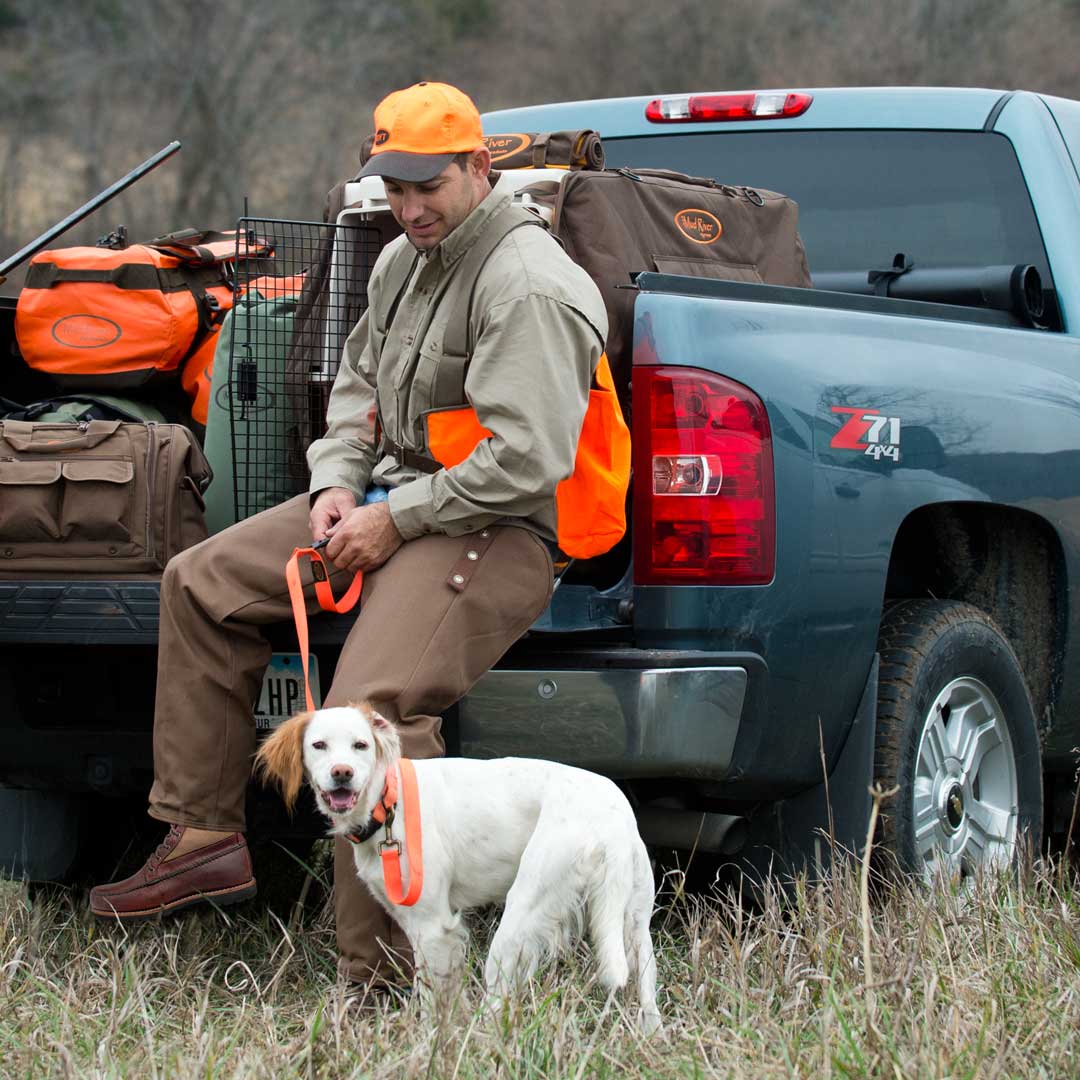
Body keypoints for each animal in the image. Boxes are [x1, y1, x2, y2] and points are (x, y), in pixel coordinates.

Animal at [254, 699, 656, 1028]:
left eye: (360, 745)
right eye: (319, 745)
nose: (342, 773)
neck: (388, 801)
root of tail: (613, 814)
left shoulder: (432, 926)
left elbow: (432, 1000)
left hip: (519, 918)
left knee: (497, 1000)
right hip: (635, 926)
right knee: (647, 994)